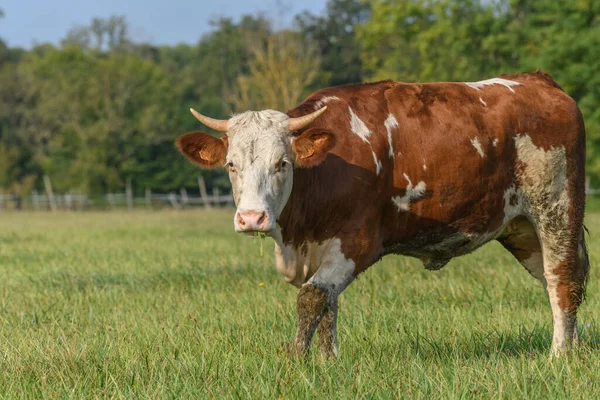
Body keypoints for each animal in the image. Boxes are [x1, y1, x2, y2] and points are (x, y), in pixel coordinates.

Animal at [176, 72, 588, 360]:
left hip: (556, 208)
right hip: (521, 228)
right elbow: (328, 304)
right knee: (559, 281)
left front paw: (295, 359)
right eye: (231, 165)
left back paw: (559, 355)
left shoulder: (358, 241)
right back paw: (577, 346)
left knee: (561, 278)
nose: (251, 219)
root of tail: (538, 80)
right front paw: (328, 361)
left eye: (282, 163)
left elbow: (312, 297)